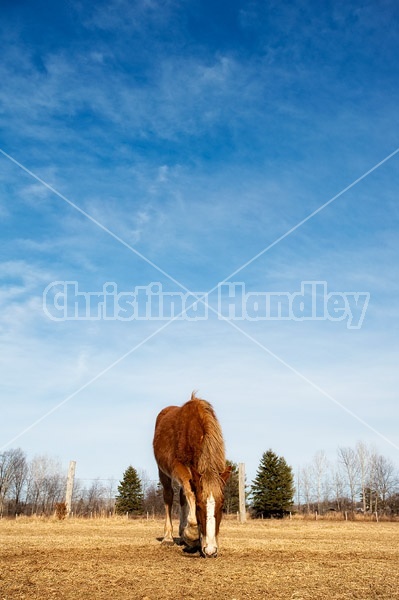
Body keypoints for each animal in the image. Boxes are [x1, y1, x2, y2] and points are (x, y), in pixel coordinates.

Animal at [155, 394, 233, 556]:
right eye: (199, 506)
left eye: (222, 506)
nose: (210, 551)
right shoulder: (179, 466)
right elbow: (190, 494)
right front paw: (192, 534)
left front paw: (191, 537)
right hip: (163, 471)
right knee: (169, 496)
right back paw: (168, 537)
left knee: (182, 496)